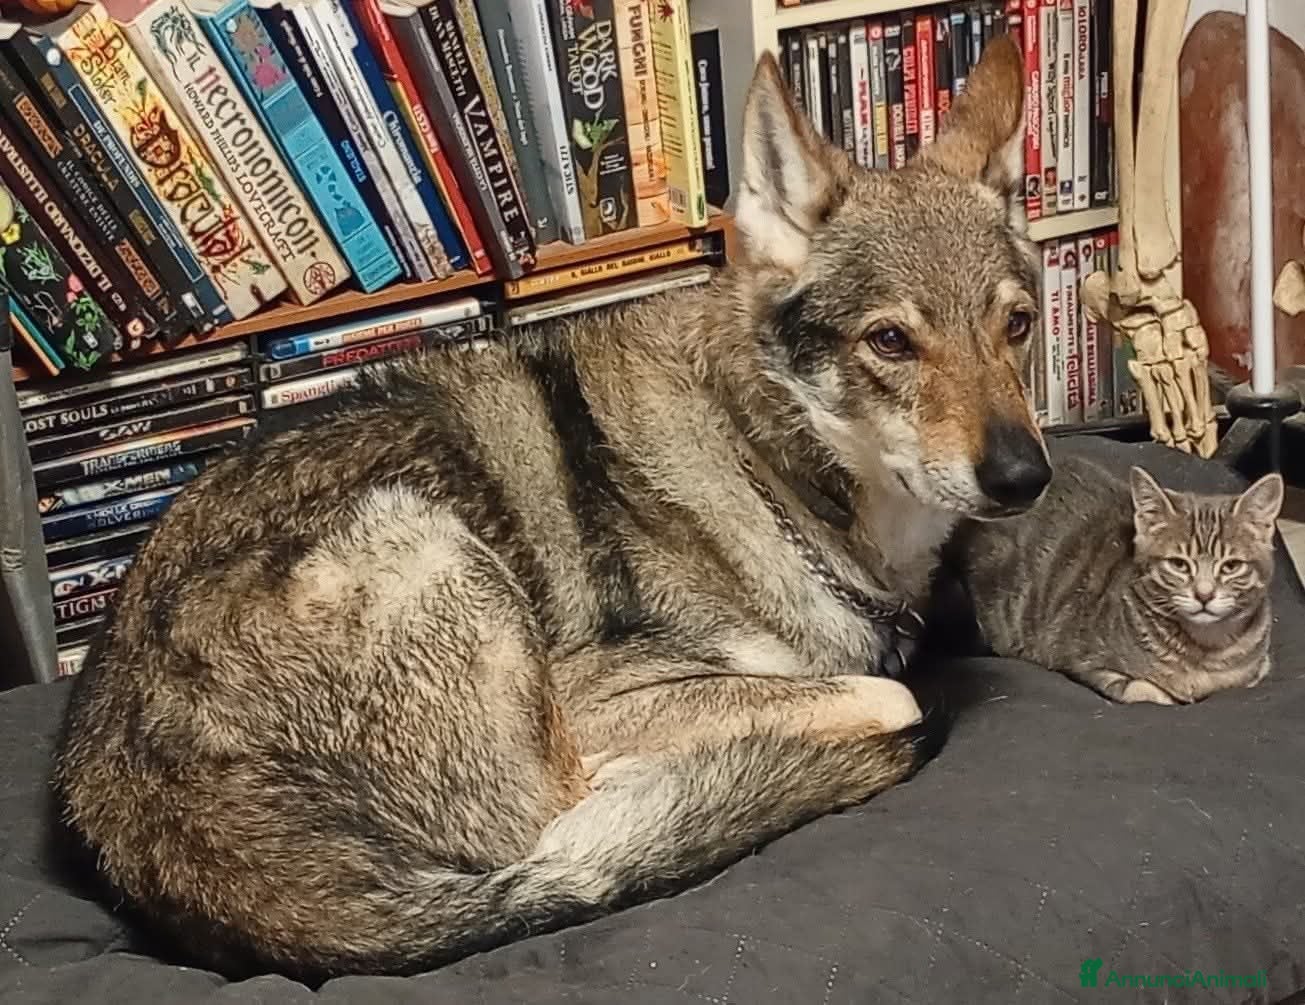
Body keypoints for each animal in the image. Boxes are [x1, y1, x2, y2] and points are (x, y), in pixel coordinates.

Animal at [53, 36, 1050, 982]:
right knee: (565, 820)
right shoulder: (599, 698)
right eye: (890, 340)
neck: (766, 465)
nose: (1024, 476)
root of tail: (133, 809)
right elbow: (886, 689)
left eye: (1018, 324)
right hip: (440, 554)